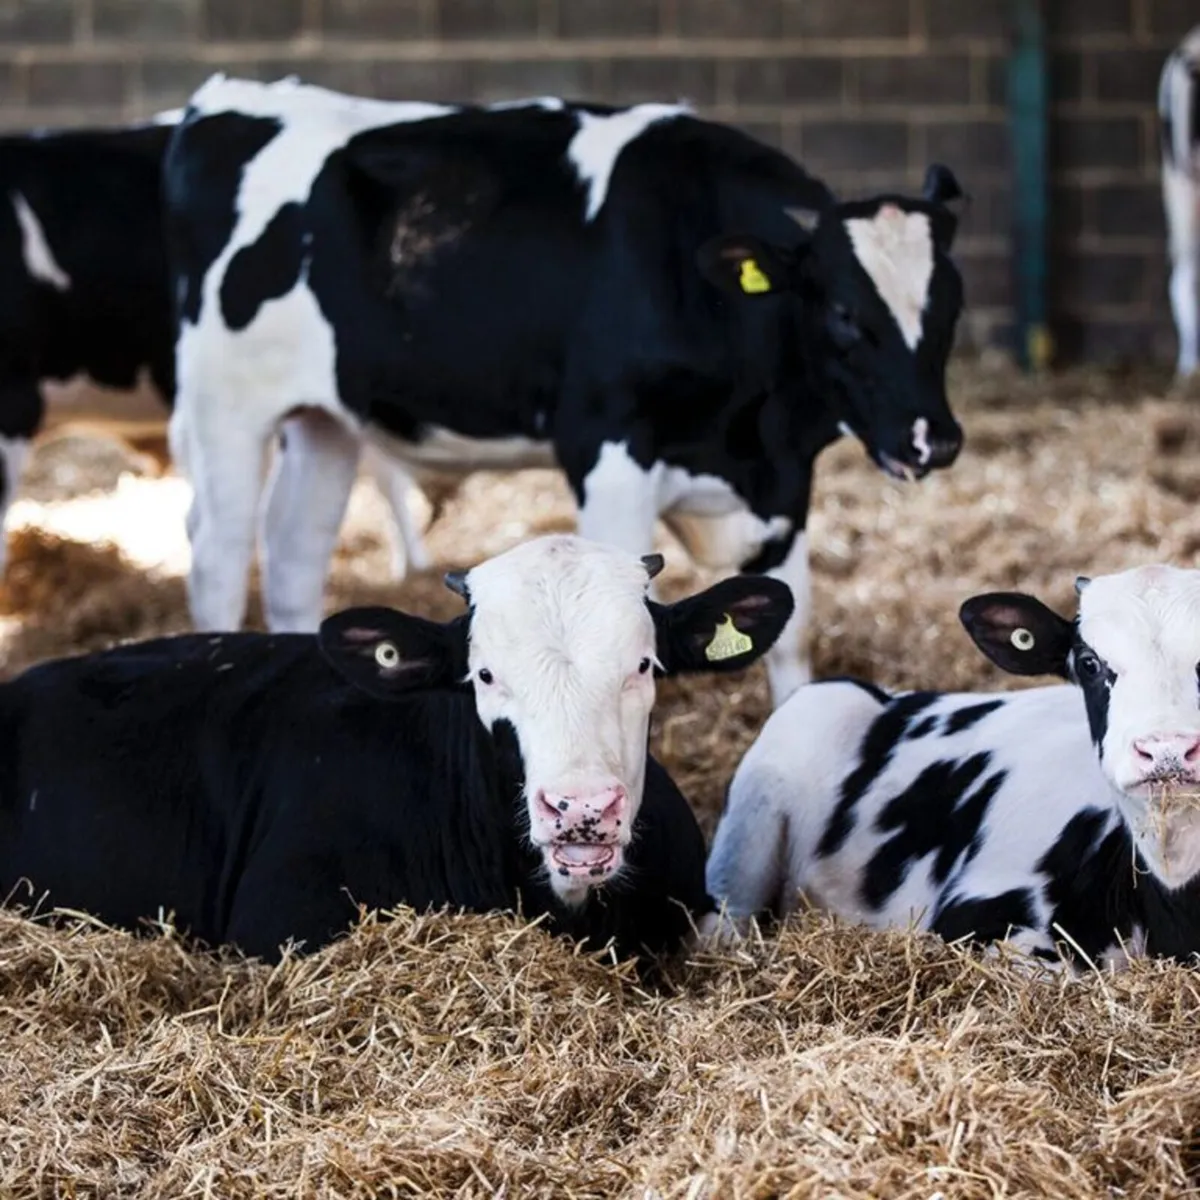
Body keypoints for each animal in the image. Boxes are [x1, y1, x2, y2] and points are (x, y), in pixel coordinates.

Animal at [165, 74, 967, 706]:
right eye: (844, 313)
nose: (934, 438)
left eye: (953, 302)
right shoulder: (606, 452)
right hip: (225, 408)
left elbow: (792, 639)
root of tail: (225, 100)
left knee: (293, 553)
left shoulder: (786, 481)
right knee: (220, 554)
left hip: (325, 420)